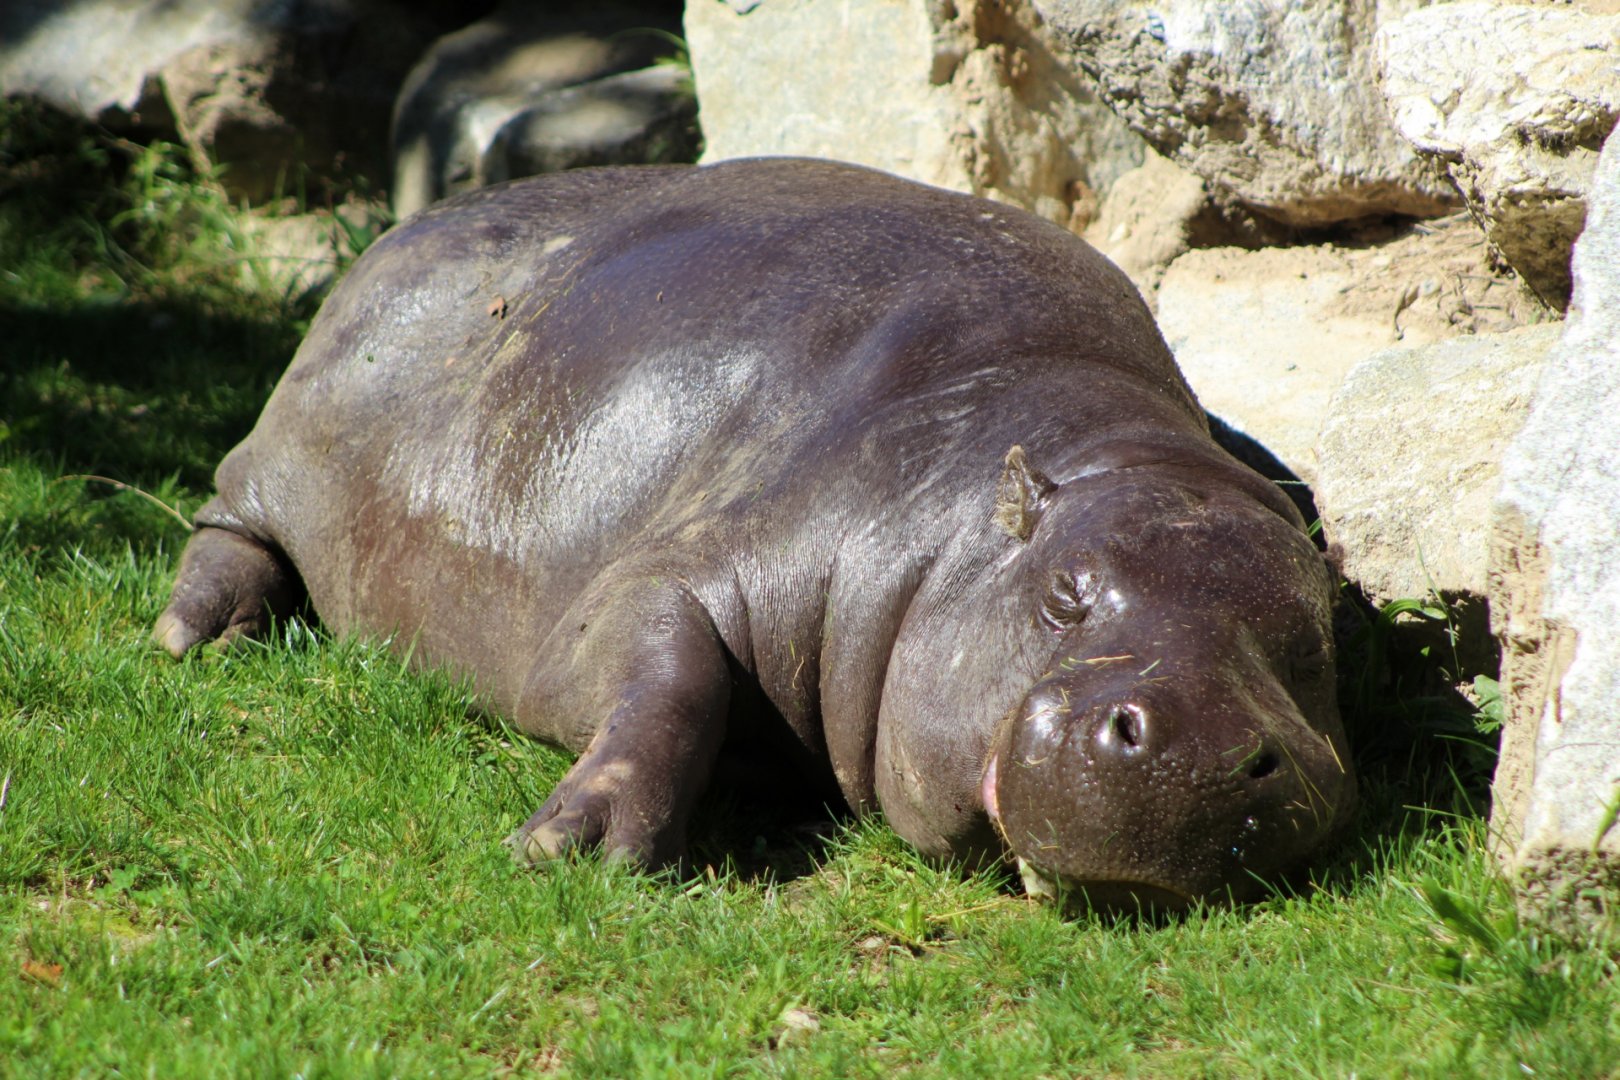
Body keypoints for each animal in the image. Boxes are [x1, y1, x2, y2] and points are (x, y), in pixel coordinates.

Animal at [153, 158, 1354, 910]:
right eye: (1066, 593)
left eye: (1310, 650)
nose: (1198, 753)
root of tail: (411, 224)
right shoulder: (703, 561)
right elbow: (671, 673)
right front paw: (575, 851)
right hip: (288, 442)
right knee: (227, 523)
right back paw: (198, 636)